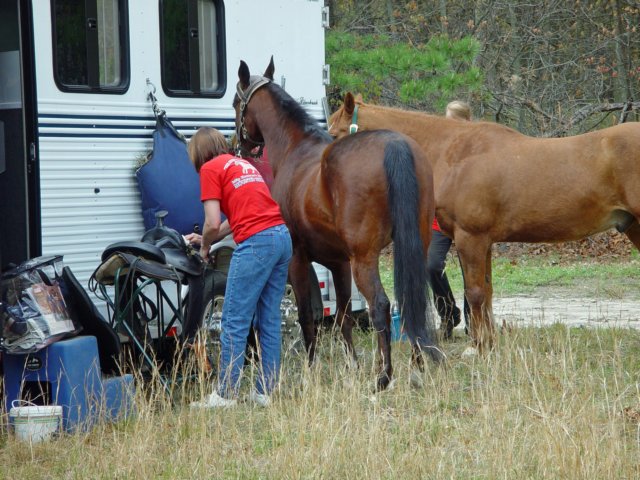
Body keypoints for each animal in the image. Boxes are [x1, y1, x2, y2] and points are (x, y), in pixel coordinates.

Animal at [232, 60, 442, 390]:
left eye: (235, 103)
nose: (239, 147)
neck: (296, 148)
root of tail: (395, 144)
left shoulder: (298, 259)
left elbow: (306, 316)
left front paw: (311, 370)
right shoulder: (339, 263)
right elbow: (343, 316)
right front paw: (352, 366)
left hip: (364, 260)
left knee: (380, 305)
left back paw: (384, 375)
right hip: (412, 247)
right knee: (412, 302)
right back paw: (416, 368)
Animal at [328, 94, 640, 354]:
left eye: (335, 132)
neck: (457, 154)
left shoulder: (471, 238)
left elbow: (475, 294)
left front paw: (478, 348)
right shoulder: (484, 242)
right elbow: (487, 293)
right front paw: (487, 344)